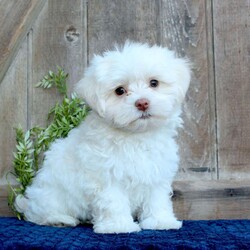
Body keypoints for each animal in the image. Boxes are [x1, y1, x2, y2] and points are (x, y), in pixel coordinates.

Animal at [15, 42, 189, 233]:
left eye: (154, 83)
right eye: (120, 91)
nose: (142, 103)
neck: (136, 136)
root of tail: (30, 201)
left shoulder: (157, 173)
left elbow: (157, 199)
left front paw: (161, 221)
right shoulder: (107, 176)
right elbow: (114, 201)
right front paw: (119, 226)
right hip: (51, 193)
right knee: (39, 214)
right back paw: (59, 219)